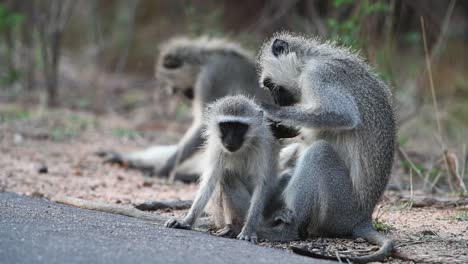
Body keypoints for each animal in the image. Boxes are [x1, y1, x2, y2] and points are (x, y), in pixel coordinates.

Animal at [98, 37, 274, 182]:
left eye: (174, 87)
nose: (172, 92)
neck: (206, 57)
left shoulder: (211, 77)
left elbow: (203, 124)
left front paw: (163, 169)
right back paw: (130, 160)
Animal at [165, 95, 282, 243]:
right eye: (225, 126)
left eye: (239, 127)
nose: (231, 140)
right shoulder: (216, 146)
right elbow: (210, 181)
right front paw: (187, 220)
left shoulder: (263, 146)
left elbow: (263, 184)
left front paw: (249, 229)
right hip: (220, 215)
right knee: (225, 176)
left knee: (227, 175)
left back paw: (236, 228)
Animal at [258, 32, 396, 262]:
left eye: (270, 85)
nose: (277, 100)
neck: (307, 61)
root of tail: (364, 216)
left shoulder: (319, 76)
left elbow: (343, 115)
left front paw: (271, 111)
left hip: (341, 208)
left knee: (318, 153)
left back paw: (287, 230)